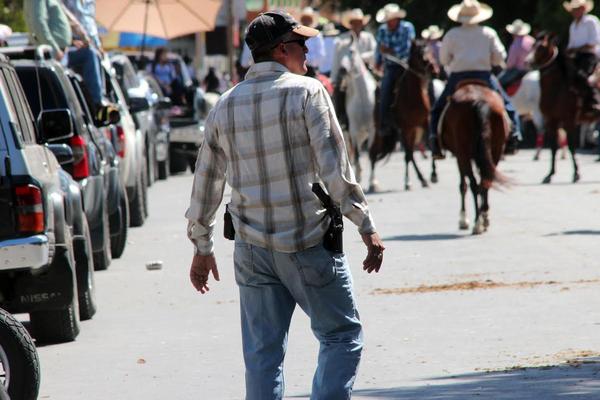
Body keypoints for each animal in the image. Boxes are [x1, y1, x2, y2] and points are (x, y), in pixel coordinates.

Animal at [336, 33, 378, 182]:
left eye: (351, 51)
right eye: (338, 53)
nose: (342, 70)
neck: (362, 98)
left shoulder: (373, 129)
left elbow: (372, 153)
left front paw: (373, 182)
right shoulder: (353, 130)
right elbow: (358, 155)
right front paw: (359, 176)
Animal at [366, 39, 440, 191]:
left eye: (430, 51)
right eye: (420, 55)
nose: (435, 71)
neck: (413, 96)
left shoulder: (426, 122)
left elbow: (430, 145)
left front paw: (434, 174)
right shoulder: (404, 128)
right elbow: (408, 155)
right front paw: (411, 181)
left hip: (411, 131)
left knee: (408, 153)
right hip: (382, 131)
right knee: (374, 153)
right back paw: (373, 183)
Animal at [442, 83, 508, 236]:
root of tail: (479, 100)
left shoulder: (459, 156)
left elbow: (463, 185)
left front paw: (463, 219)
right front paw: (484, 216)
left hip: (463, 152)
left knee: (472, 184)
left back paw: (477, 222)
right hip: (495, 150)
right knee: (486, 181)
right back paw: (483, 219)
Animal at [528, 33, 596, 184]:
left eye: (542, 47)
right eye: (532, 45)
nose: (527, 62)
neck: (557, 89)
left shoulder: (569, 119)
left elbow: (571, 145)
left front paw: (576, 174)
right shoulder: (551, 119)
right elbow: (554, 146)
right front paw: (549, 174)